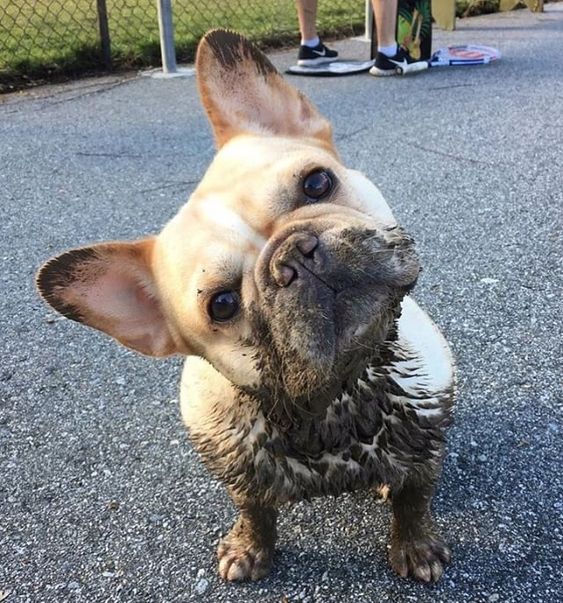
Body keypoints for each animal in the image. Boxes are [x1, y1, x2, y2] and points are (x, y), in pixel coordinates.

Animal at [37, 29, 456, 584]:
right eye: (222, 304)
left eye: (317, 183)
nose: (295, 256)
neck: (332, 397)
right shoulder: (237, 471)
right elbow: (253, 509)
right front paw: (249, 548)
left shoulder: (426, 438)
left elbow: (415, 496)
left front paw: (416, 545)